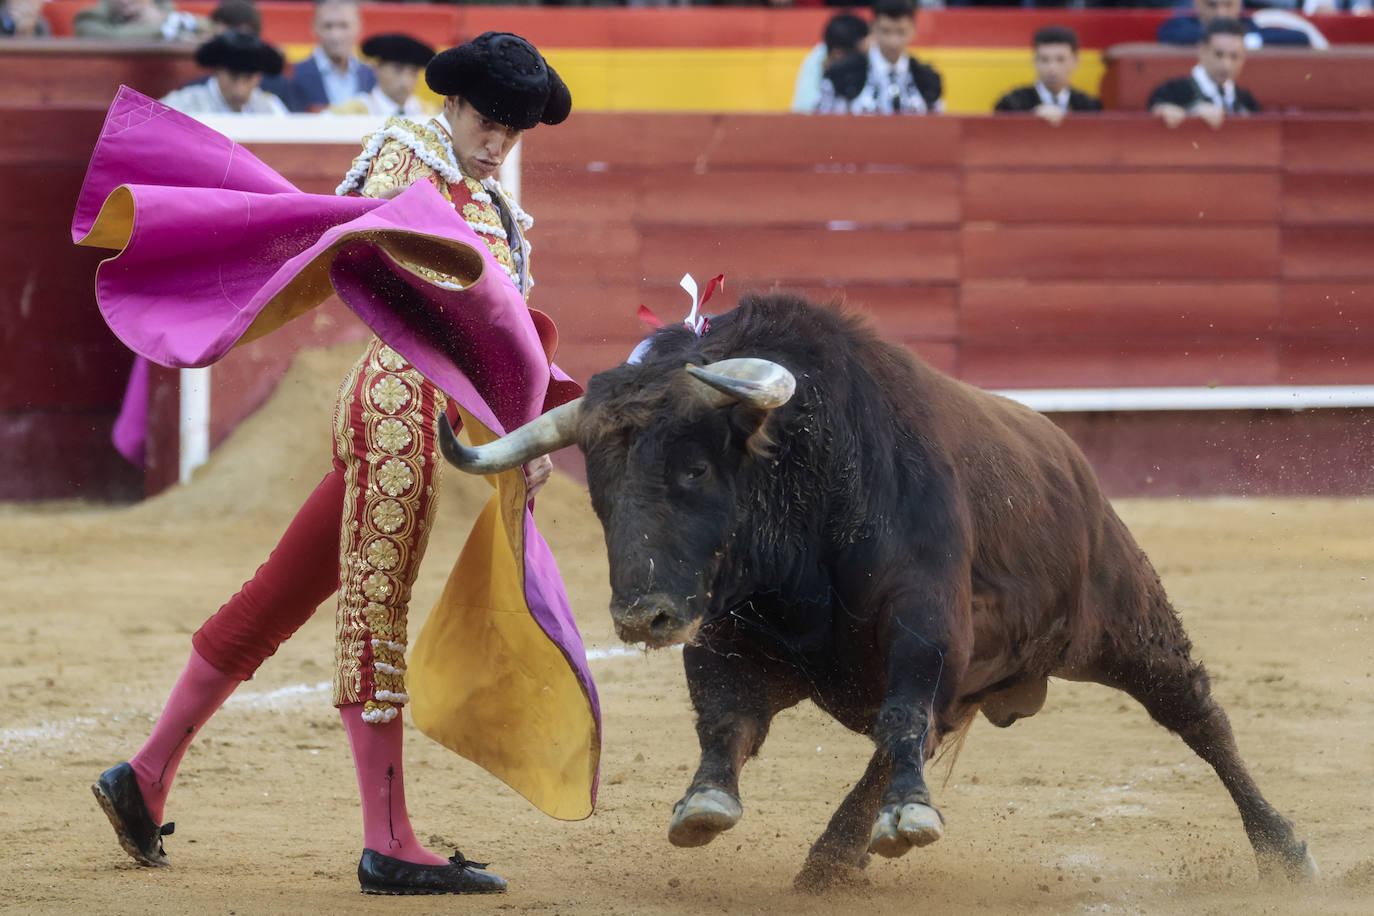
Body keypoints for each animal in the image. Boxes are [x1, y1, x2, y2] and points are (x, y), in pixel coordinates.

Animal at [442, 292, 1319, 889]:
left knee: (1196, 715)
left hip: (1124, 618)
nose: (642, 616)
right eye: (601, 490)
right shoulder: (726, 632)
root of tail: (1070, 459)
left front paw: (910, 816)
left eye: (694, 470)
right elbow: (726, 721)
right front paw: (704, 806)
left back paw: (1284, 853)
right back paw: (839, 858)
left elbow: (899, 715)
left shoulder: (925, 626)